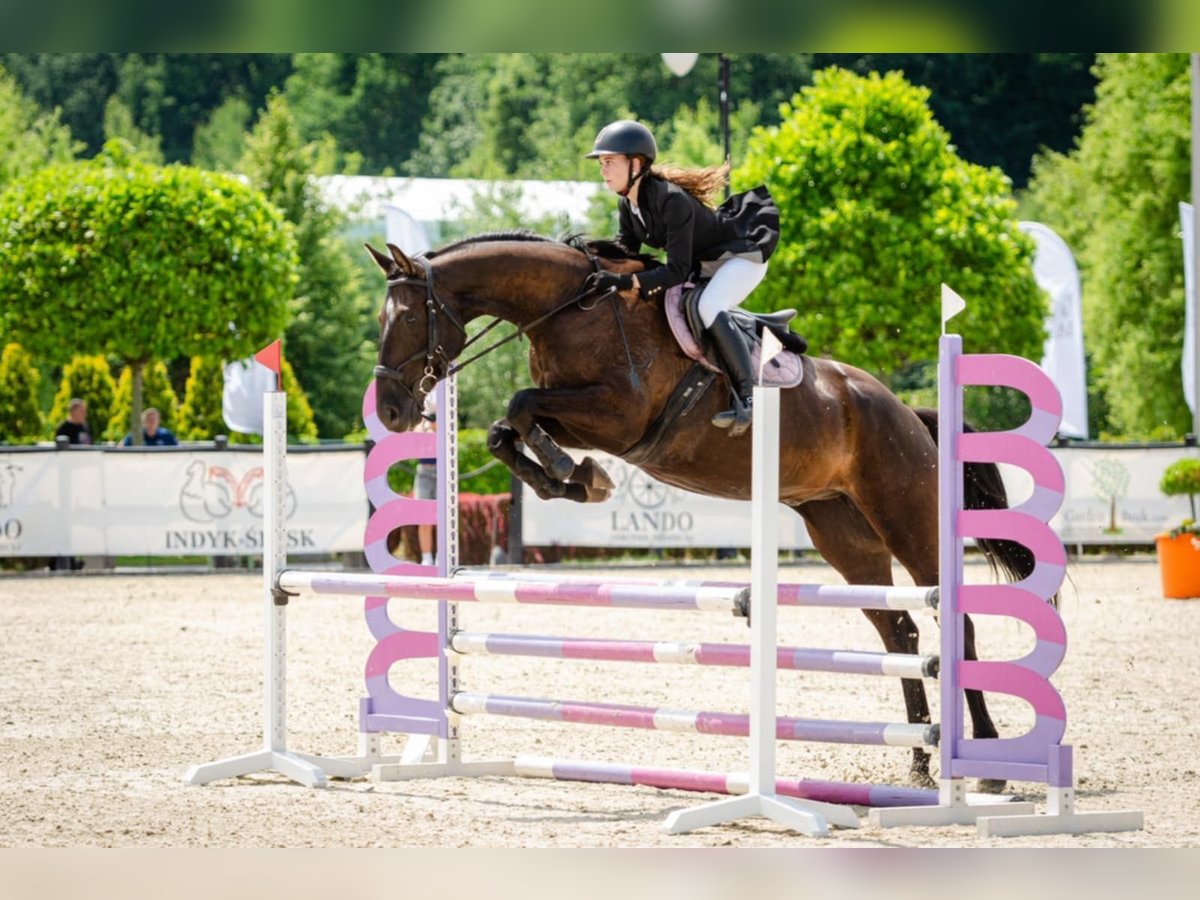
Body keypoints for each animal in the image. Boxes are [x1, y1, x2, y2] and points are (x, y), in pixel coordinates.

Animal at [366, 231, 1034, 791]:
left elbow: (520, 404)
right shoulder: (582, 415)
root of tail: (903, 409)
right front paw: (576, 478)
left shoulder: (618, 416)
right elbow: (506, 428)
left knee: (955, 623)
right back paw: (919, 763)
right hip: (843, 532)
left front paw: (577, 475)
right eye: (381, 318)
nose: (394, 412)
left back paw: (986, 766)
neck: (572, 309)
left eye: (407, 317)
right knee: (900, 632)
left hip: (906, 518)